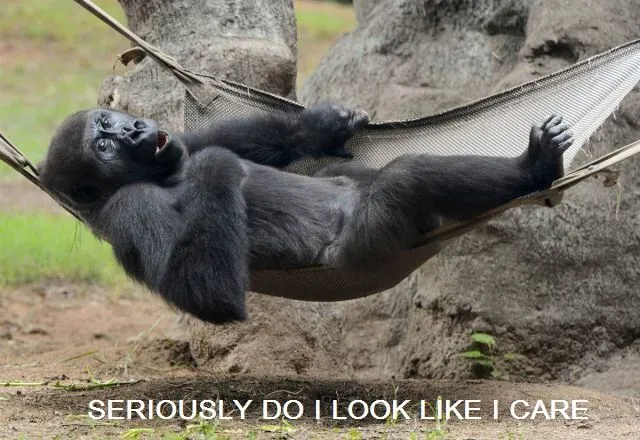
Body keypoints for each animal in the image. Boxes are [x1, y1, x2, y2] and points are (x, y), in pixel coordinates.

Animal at [38, 104, 572, 323]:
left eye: (110, 121)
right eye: (102, 145)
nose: (133, 130)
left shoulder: (177, 144)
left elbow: (212, 143)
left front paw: (319, 127)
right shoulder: (129, 208)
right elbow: (205, 293)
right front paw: (216, 167)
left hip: (353, 191)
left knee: (372, 175)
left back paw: (536, 167)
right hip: (367, 246)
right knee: (407, 179)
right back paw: (533, 169)